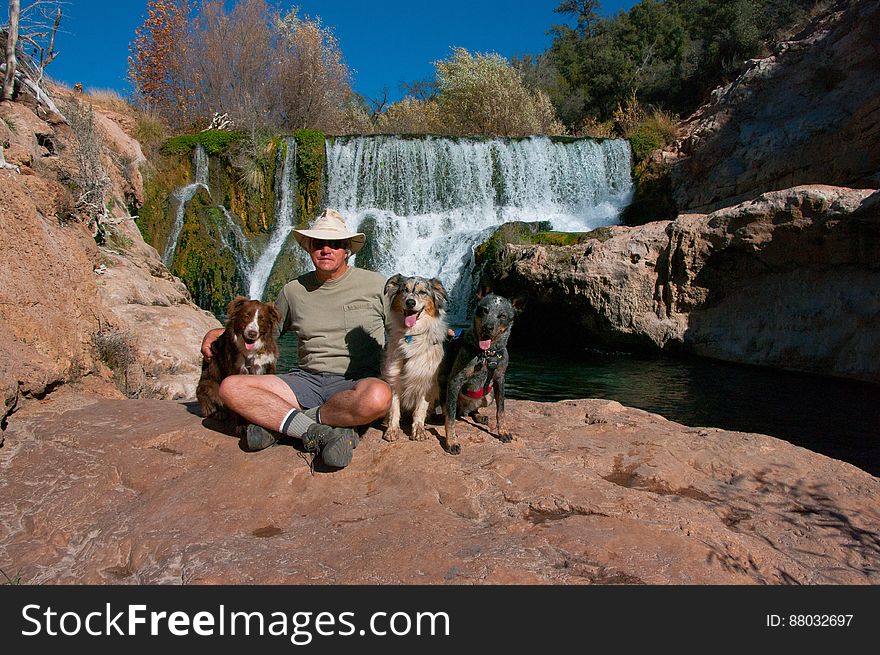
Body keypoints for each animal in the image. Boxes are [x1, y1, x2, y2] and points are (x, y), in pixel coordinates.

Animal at [380, 272, 446, 446]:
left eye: (423, 292)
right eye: (405, 290)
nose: (410, 302)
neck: (410, 335)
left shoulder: (426, 381)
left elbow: (420, 410)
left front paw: (419, 430)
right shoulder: (393, 379)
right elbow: (394, 409)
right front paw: (392, 430)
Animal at [438, 294, 520, 456]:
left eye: (502, 315)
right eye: (484, 310)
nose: (487, 327)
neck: (487, 354)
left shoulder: (500, 379)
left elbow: (501, 411)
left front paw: (503, 432)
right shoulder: (455, 381)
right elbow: (450, 418)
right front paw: (451, 442)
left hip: (489, 397)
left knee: (472, 411)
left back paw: (479, 416)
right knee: (452, 412)